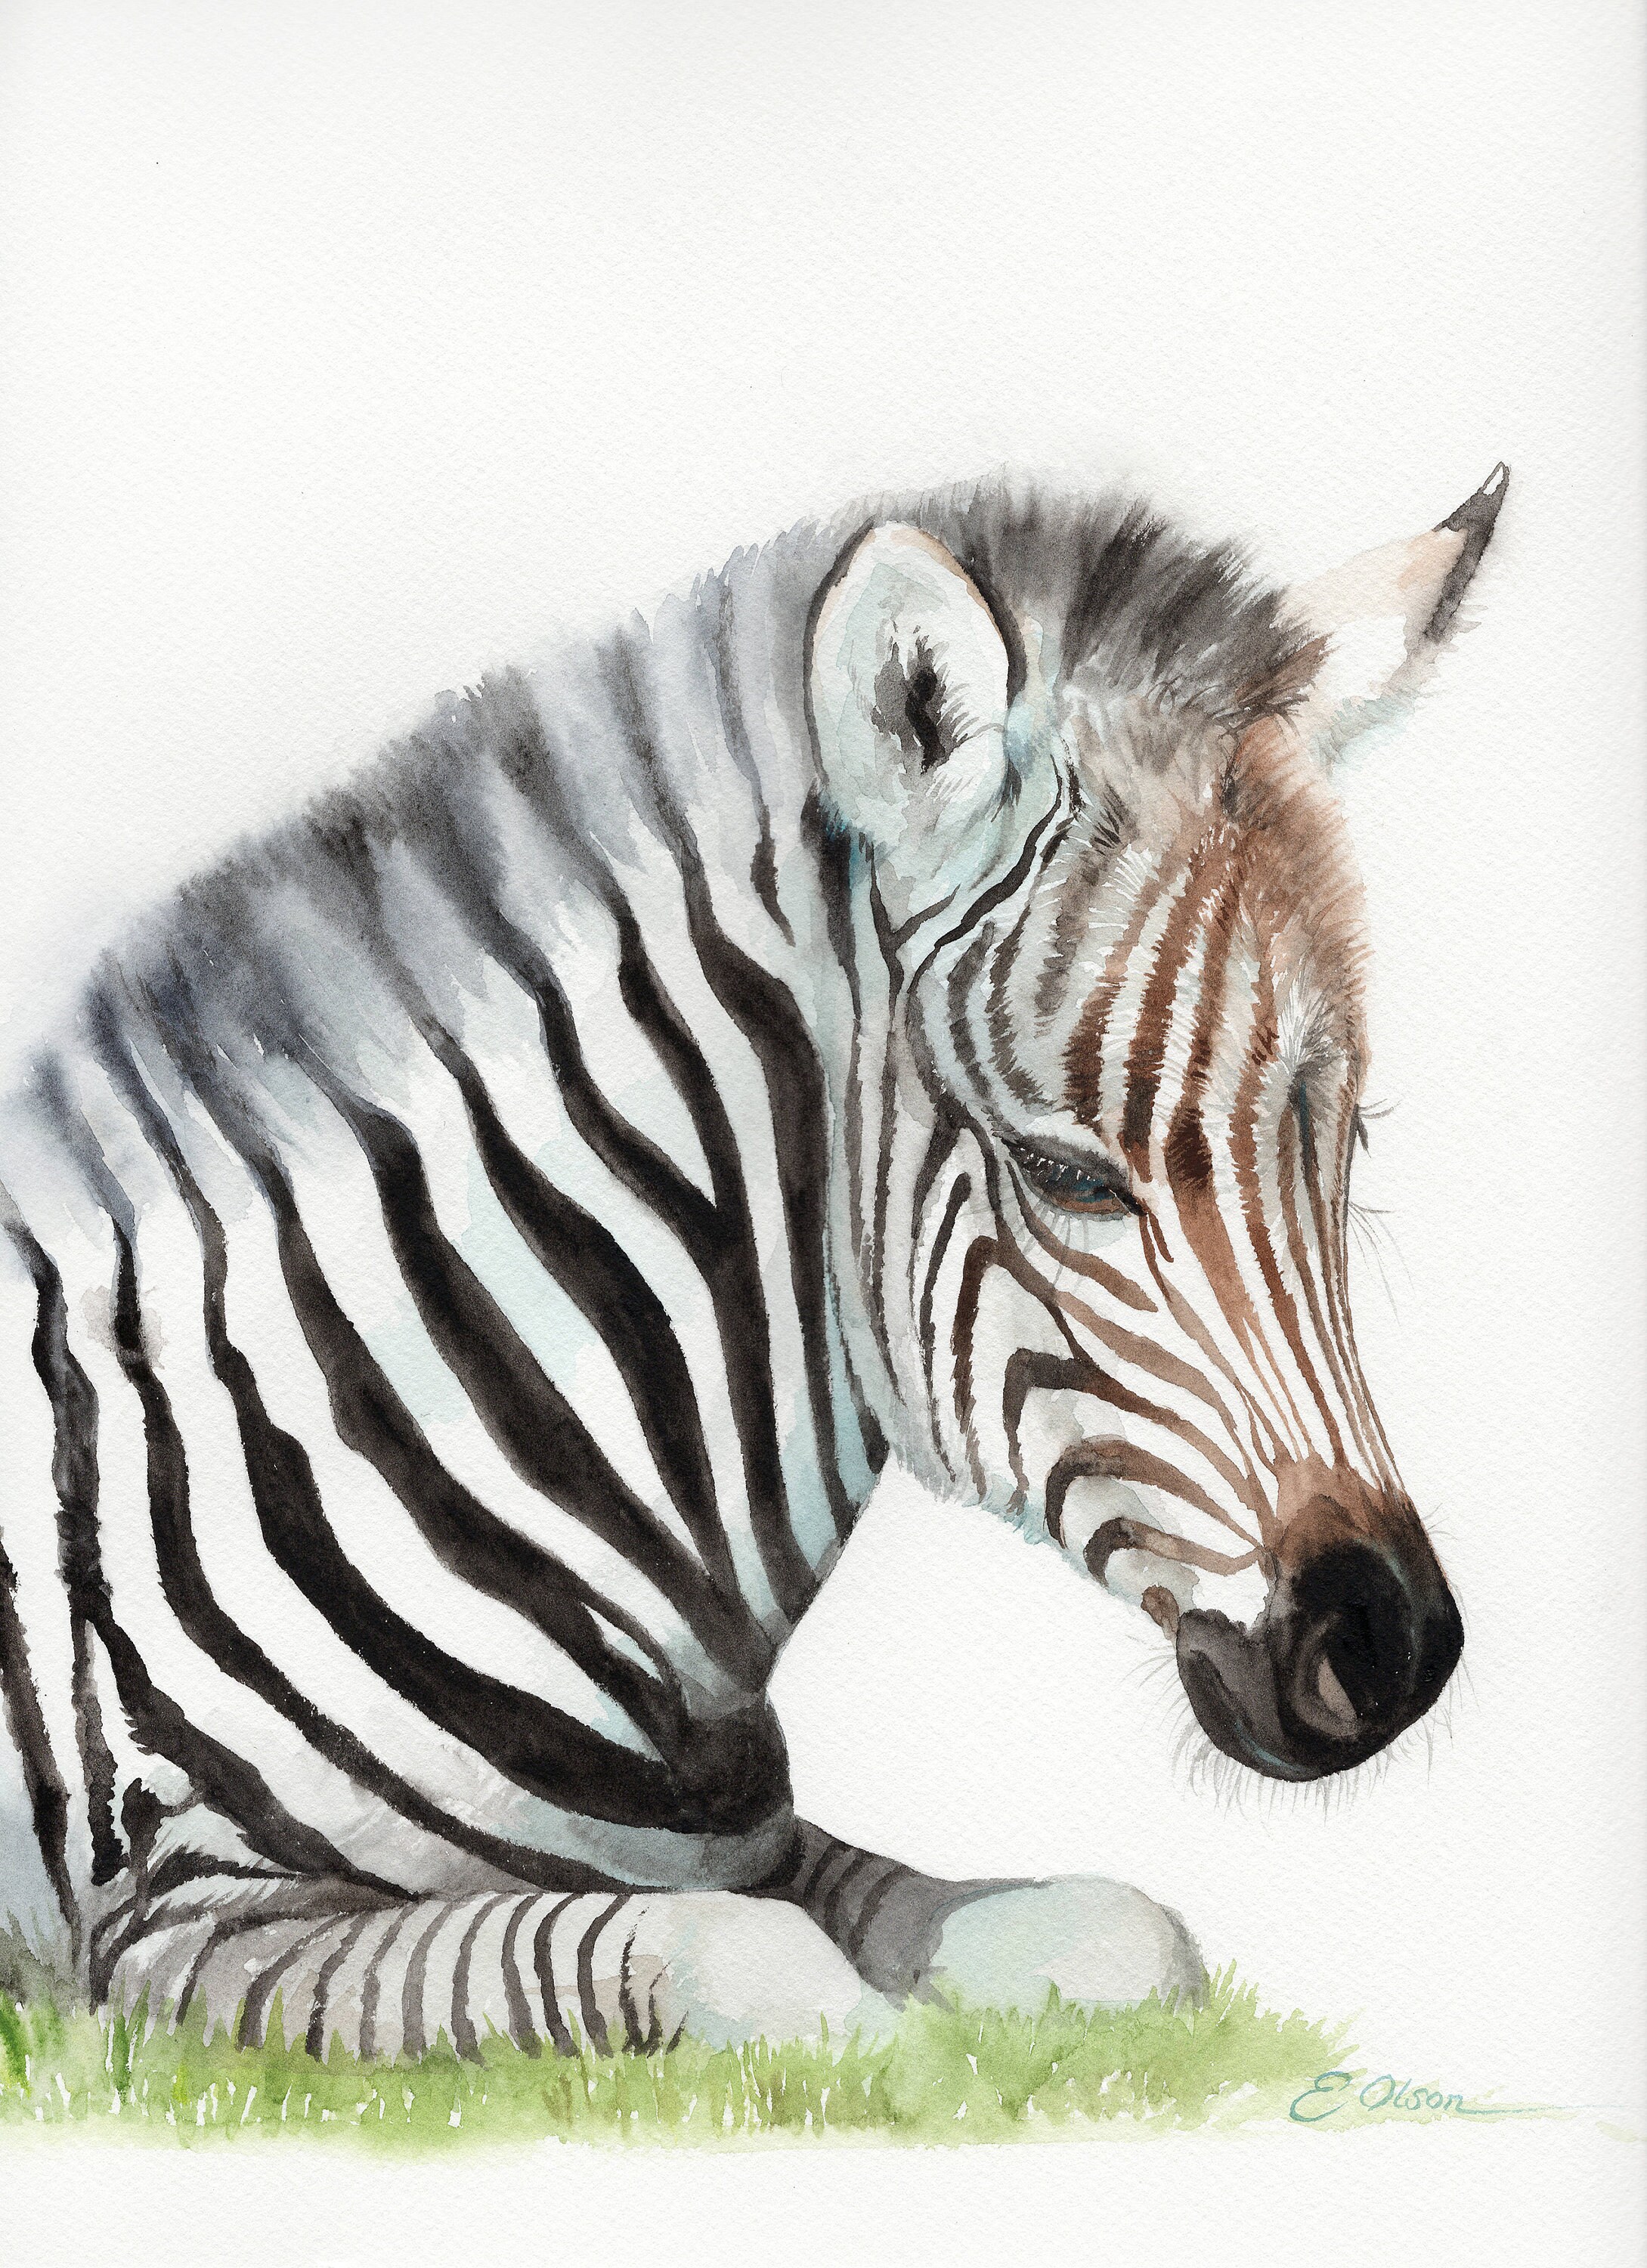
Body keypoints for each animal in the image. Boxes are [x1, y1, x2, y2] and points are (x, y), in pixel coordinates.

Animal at [0, 463, 1505, 2061]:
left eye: (1345, 1145)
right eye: (1067, 1176)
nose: (1391, 1649)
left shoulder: (766, 1847)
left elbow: (1123, 1936)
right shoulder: (177, 1940)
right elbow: (786, 1988)